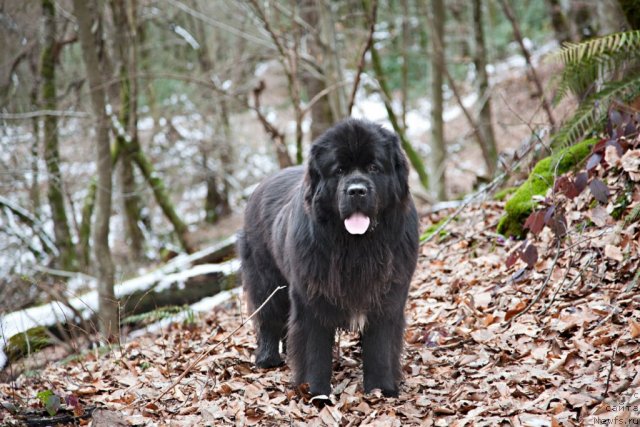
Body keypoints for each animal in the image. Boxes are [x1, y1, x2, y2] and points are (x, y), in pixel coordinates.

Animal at [238, 118, 418, 398]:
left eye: (374, 167)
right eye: (339, 170)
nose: (356, 191)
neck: (358, 247)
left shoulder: (387, 296)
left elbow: (380, 346)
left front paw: (381, 390)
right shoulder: (311, 298)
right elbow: (314, 349)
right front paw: (316, 392)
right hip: (266, 278)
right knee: (268, 316)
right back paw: (268, 359)